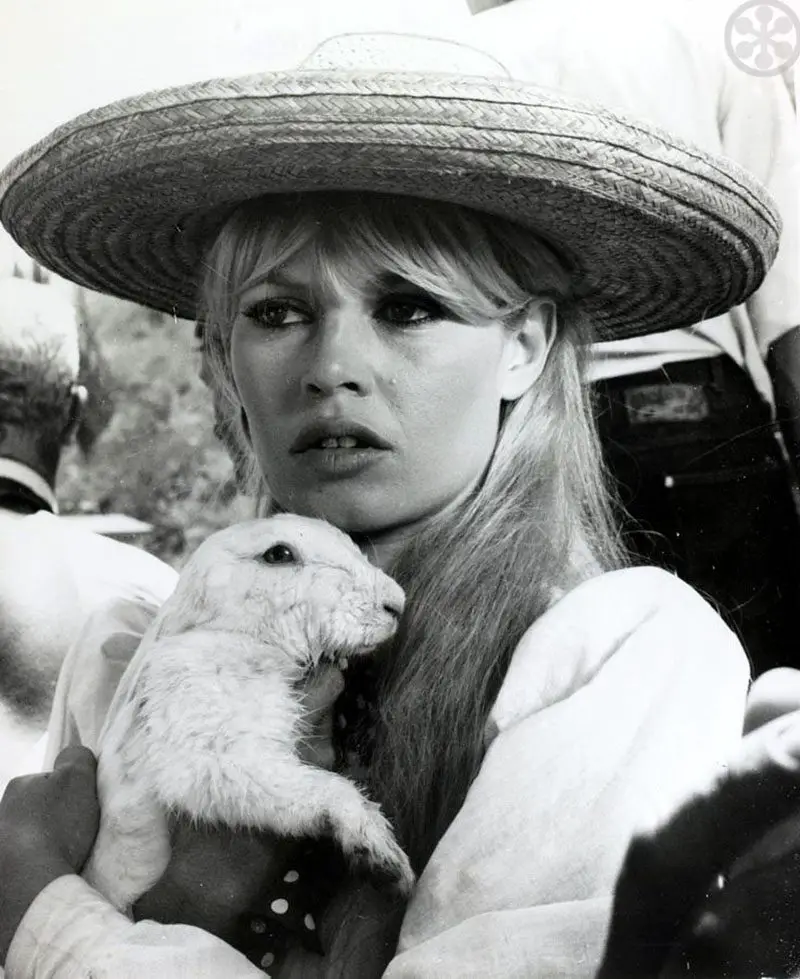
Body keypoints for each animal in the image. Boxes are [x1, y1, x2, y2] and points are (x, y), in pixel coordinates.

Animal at [83, 512, 412, 912]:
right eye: (279, 554)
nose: (396, 604)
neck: (233, 630)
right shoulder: (214, 750)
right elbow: (328, 790)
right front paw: (387, 862)